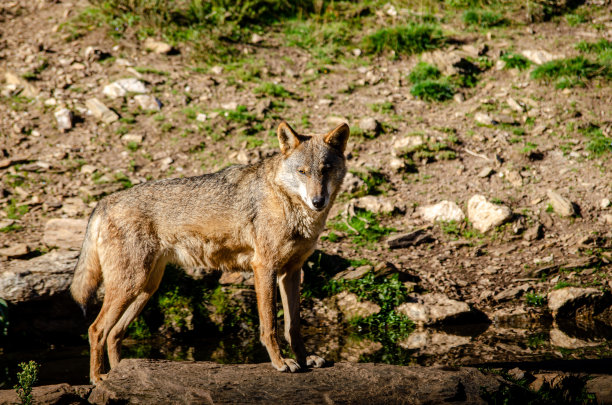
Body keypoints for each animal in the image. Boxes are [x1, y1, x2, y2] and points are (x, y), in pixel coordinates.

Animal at [70, 120, 350, 382]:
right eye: (302, 172)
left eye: (325, 170)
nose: (318, 201)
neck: (286, 201)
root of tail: (104, 201)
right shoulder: (264, 267)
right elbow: (270, 323)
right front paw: (280, 362)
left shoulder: (291, 272)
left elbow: (294, 326)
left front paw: (304, 359)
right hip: (130, 285)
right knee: (96, 330)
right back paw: (99, 379)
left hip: (146, 288)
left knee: (115, 334)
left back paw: (121, 376)